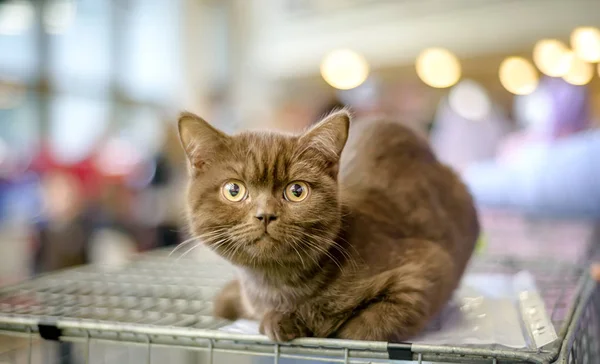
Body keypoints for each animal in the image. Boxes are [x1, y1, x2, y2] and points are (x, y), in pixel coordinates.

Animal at [178, 109, 478, 342]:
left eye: (296, 191)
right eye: (234, 190)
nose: (265, 215)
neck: (275, 286)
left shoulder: (427, 267)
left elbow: (366, 327)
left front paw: (306, 323)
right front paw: (279, 320)